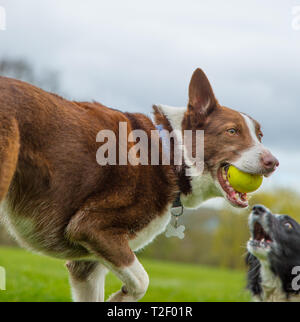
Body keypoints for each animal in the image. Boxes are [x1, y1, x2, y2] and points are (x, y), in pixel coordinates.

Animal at [0, 68, 278, 302]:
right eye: (232, 131)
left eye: (260, 136)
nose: (273, 162)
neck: (170, 153)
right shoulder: (91, 227)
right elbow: (143, 280)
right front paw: (120, 298)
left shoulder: (87, 266)